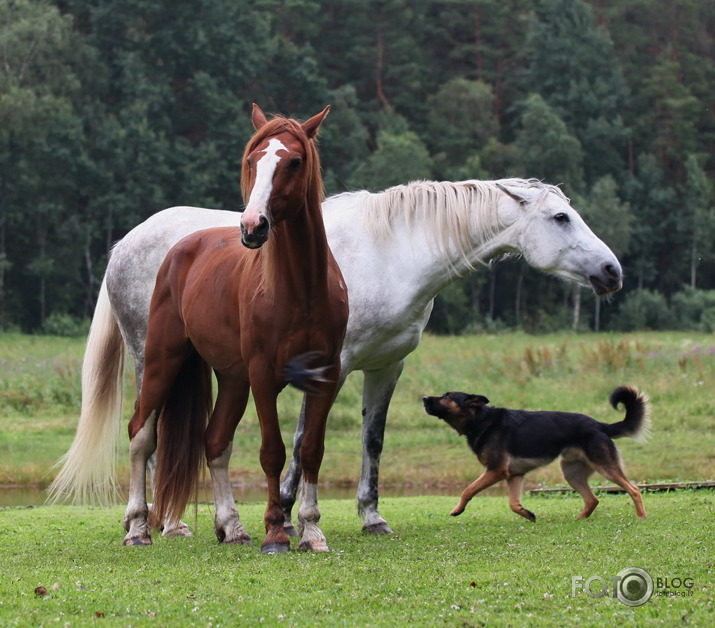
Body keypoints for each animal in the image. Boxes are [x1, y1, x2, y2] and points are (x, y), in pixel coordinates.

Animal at [49, 179, 620, 536]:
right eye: (561, 217)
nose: (612, 270)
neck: (390, 253)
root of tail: (126, 243)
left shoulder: (385, 367)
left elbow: (372, 439)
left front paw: (371, 517)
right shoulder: (330, 367)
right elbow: (304, 442)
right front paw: (286, 514)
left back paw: (184, 523)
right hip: (152, 358)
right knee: (146, 436)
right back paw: (146, 523)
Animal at [422, 386, 652, 524]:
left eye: (447, 396)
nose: (423, 397)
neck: (480, 420)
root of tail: (599, 425)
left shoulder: (495, 471)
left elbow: (468, 490)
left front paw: (457, 510)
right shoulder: (514, 475)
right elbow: (513, 504)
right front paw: (528, 514)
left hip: (605, 468)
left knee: (633, 489)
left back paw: (642, 517)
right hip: (571, 473)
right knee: (592, 499)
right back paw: (578, 520)